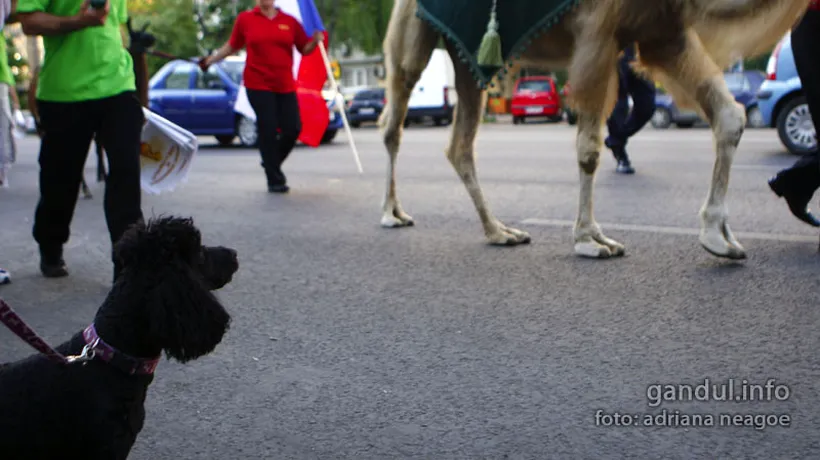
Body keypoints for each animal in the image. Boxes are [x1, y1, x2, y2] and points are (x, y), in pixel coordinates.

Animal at [380, 0, 812, 258]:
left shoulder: (663, 31)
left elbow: (730, 116)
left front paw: (719, 236)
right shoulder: (597, 29)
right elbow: (588, 146)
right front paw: (590, 239)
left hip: (467, 54)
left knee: (460, 144)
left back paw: (500, 231)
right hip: (412, 30)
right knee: (394, 118)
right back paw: (391, 213)